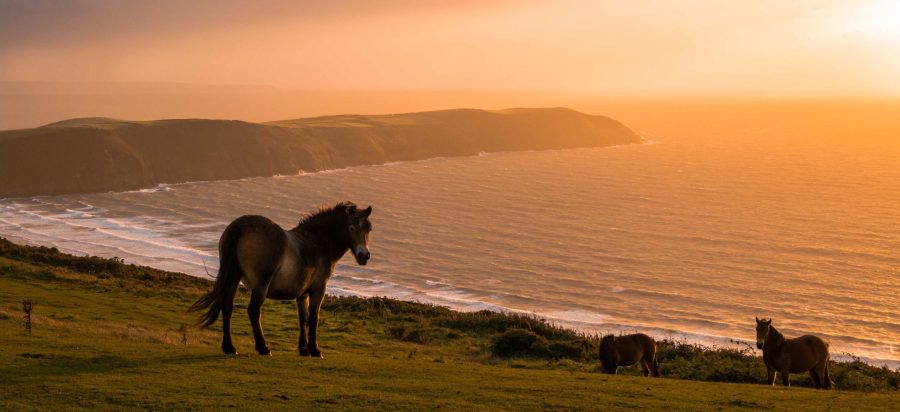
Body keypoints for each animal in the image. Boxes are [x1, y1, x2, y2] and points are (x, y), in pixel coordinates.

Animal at [190, 202, 372, 358]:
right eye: (351, 228)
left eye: (368, 229)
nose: (364, 256)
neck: (318, 243)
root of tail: (241, 227)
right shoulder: (318, 290)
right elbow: (314, 318)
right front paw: (315, 350)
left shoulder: (302, 294)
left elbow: (303, 319)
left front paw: (303, 349)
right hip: (261, 284)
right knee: (254, 311)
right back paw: (263, 347)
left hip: (234, 277)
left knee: (227, 307)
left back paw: (229, 347)